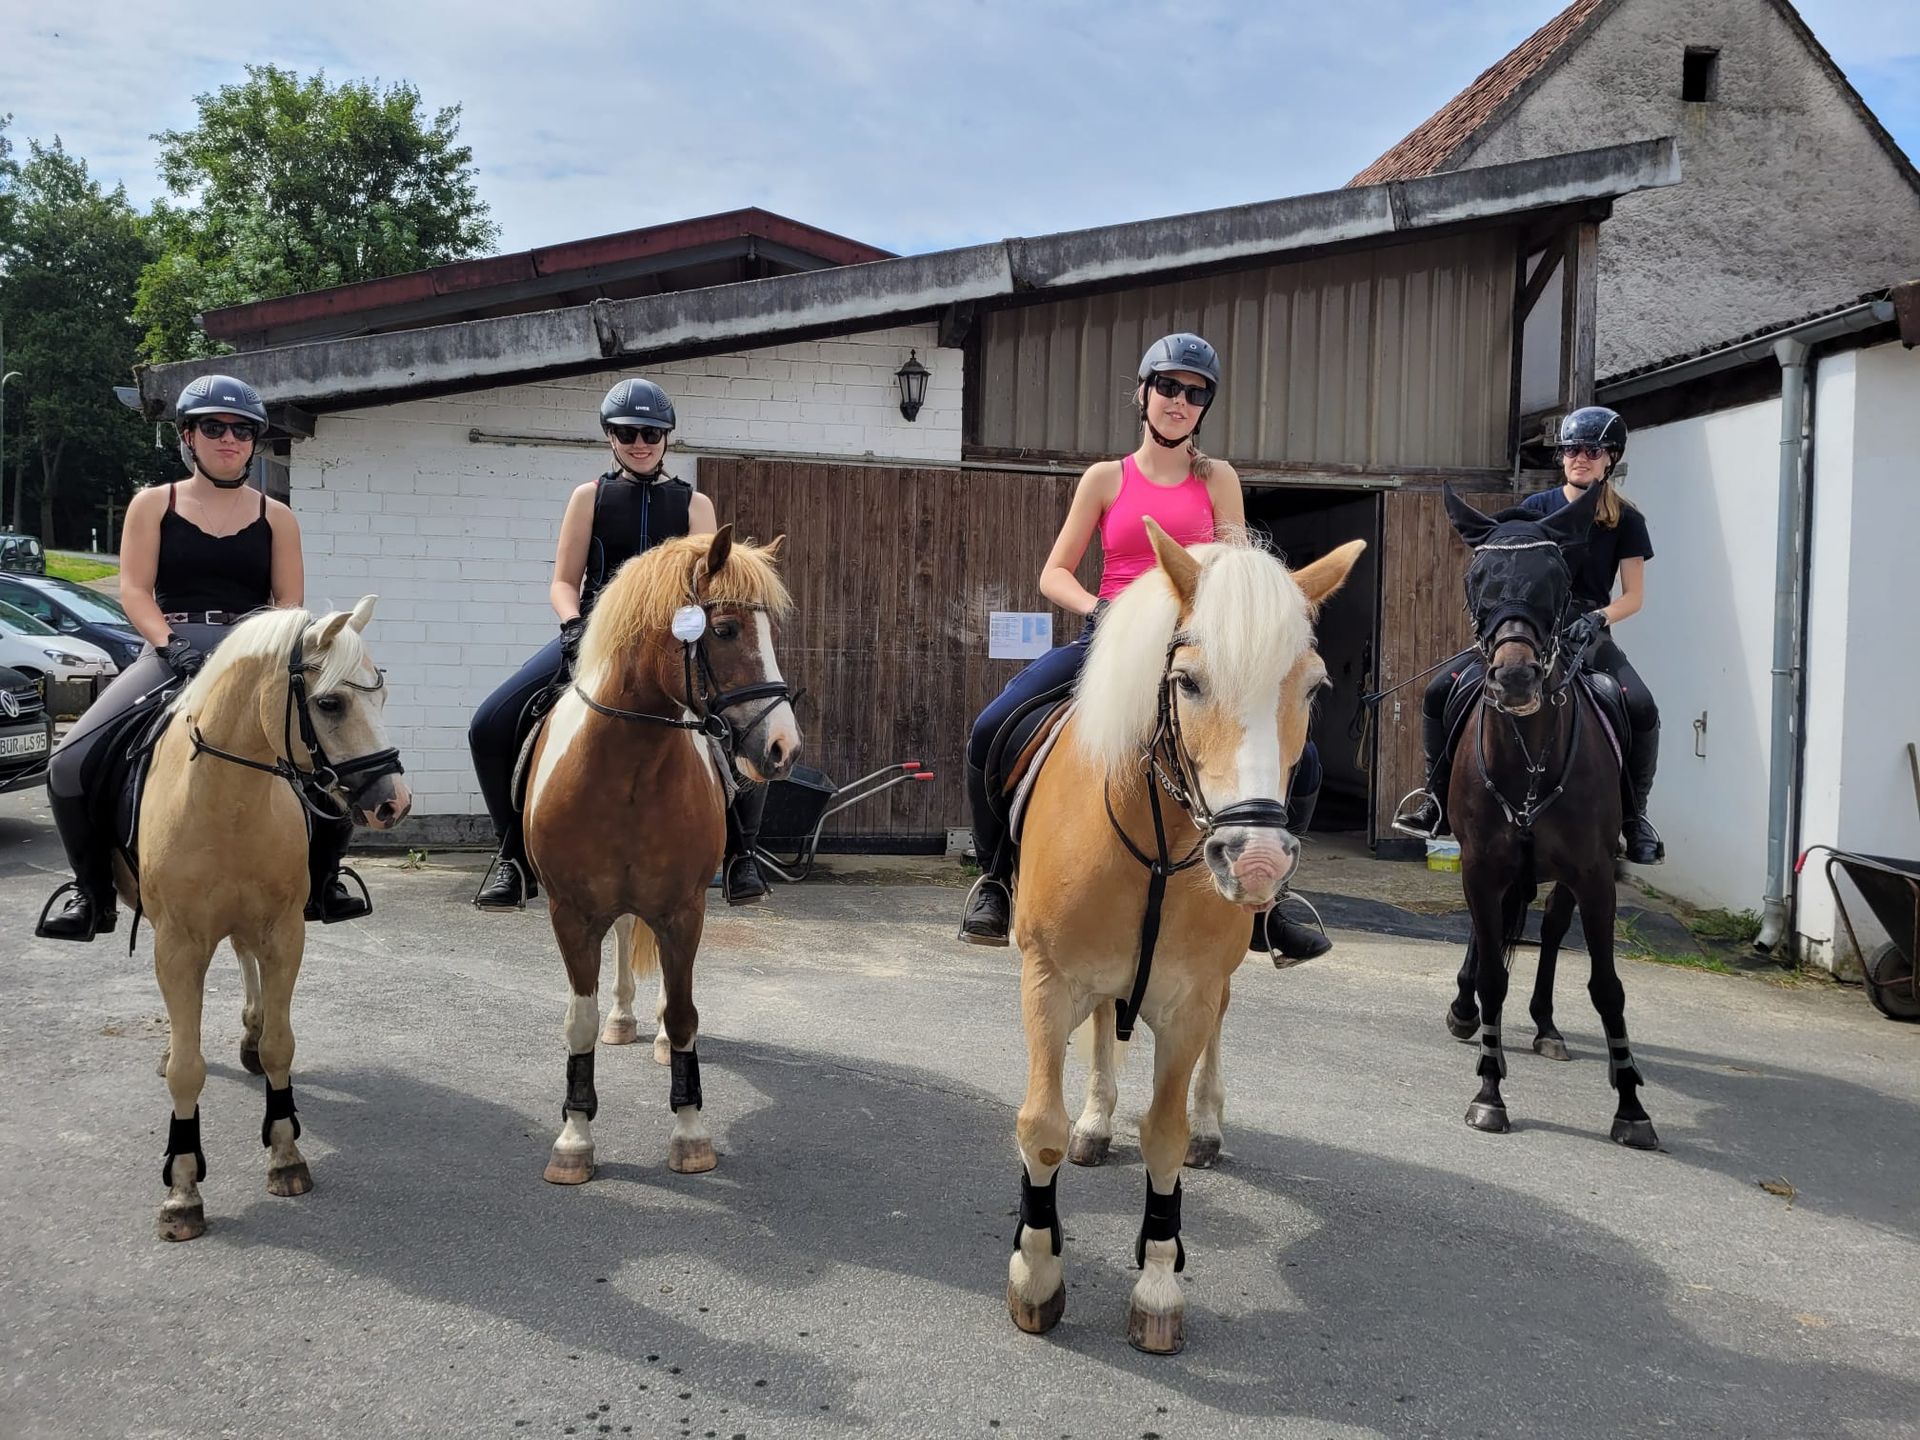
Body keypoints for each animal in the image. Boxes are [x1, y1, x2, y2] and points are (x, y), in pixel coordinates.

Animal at [140, 599, 410, 1241]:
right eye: (330, 704)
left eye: (382, 696)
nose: (395, 803)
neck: (227, 802)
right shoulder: (176, 945)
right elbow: (187, 1069)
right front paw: (182, 1193)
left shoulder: (285, 932)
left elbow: (282, 1046)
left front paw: (286, 1157)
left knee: (245, 961)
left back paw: (250, 1034)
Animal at [522, 526, 799, 1184]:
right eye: (724, 630)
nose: (784, 748)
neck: (628, 767)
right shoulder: (570, 914)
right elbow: (579, 1020)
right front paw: (573, 1139)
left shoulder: (683, 911)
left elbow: (683, 1014)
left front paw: (690, 1134)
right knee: (624, 936)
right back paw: (622, 1019)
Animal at [1005, 520, 1364, 1354]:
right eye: (1189, 682)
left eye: (1313, 689)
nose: (1255, 860)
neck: (1157, 839)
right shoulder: (1048, 978)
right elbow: (1040, 1125)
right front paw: (1036, 1276)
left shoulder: (1189, 998)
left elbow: (1163, 1136)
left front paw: (1158, 1286)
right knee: (1105, 1025)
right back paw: (1097, 1122)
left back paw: (1207, 1124)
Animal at [1437, 484, 1658, 1150]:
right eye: (1476, 578)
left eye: (1556, 579)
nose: (1513, 677)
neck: (1528, 757)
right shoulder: (1481, 866)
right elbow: (1491, 973)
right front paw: (1488, 1093)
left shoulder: (1594, 874)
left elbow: (1607, 986)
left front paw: (1631, 1106)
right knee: (1489, 942)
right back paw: (1470, 1016)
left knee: (1555, 931)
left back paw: (1545, 1027)